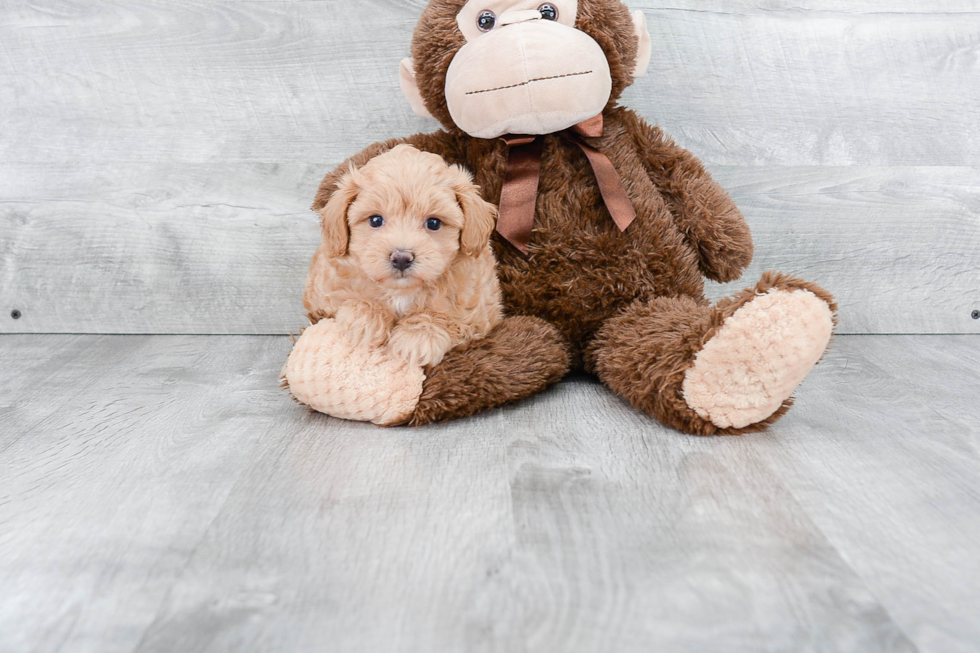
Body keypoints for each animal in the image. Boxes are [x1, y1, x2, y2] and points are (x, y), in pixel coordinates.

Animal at [304, 144, 506, 366]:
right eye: (375, 220)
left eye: (433, 223)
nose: (401, 258)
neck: (401, 292)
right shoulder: (320, 296)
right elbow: (345, 299)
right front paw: (365, 317)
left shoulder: (478, 315)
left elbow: (445, 318)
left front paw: (417, 337)